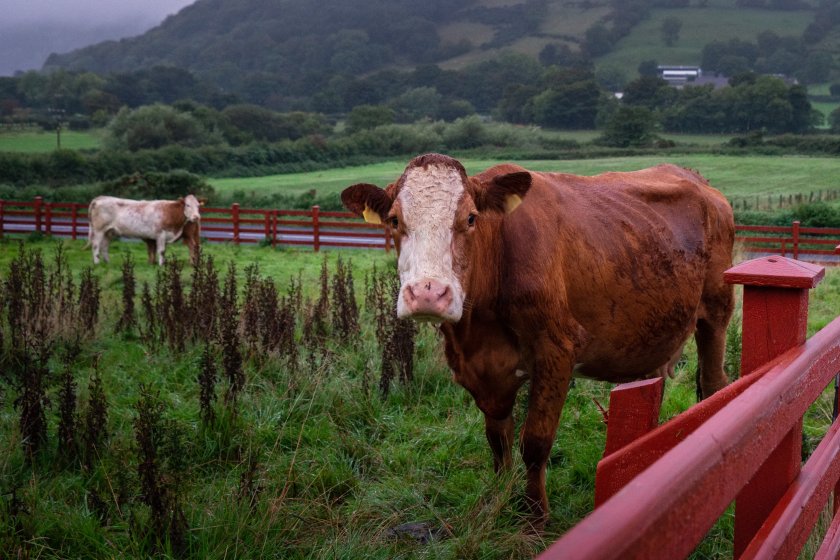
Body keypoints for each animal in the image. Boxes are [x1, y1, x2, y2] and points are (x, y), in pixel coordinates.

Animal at [341, 153, 734, 529]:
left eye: (470, 218)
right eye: (394, 220)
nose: (427, 294)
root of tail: (697, 180)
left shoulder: (556, 352)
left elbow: (535, 441)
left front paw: (534, 516)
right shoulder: (484, 370)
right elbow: (498, 440)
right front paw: (499, 498)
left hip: (716, 311)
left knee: (715, 383)